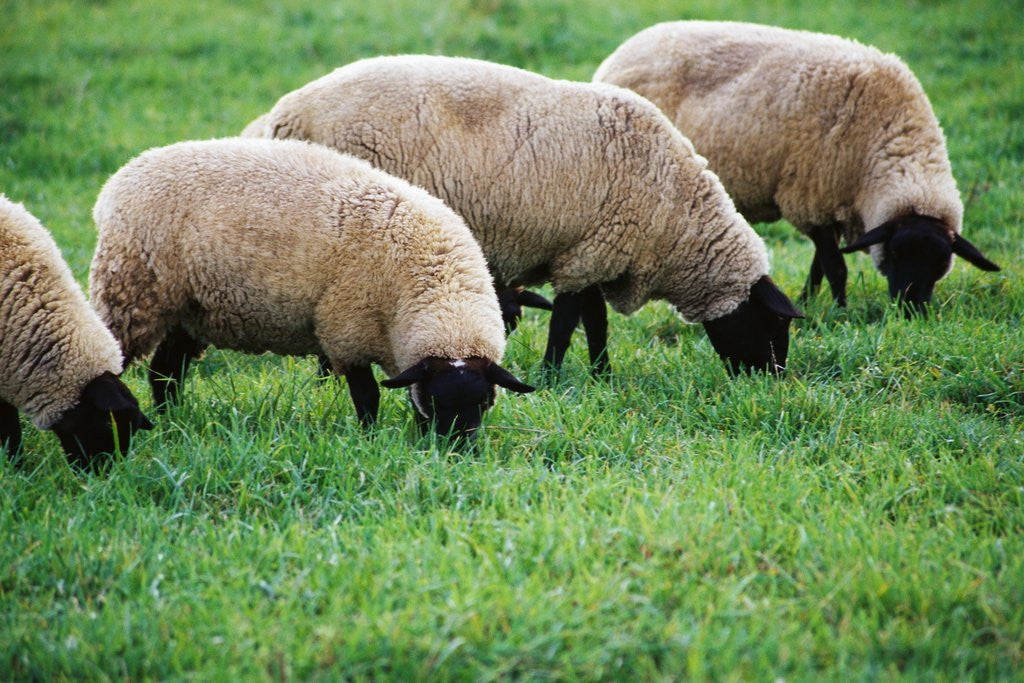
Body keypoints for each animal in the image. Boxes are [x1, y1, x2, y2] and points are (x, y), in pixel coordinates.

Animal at [88, 137, 534, 441]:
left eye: (484, 401)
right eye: (441, 402)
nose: (458, 450)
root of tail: (121, 178)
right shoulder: (347, 331)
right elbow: (368, 396)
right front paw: (369, 439)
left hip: (190, 309)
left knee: (165, 372)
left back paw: (174, 419)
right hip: (132, 290)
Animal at [257, 55, 804, 376]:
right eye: (775, 326)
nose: (771, 380)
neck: (676, 213)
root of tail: (283, 115)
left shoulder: (589, 250)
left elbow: (593, 321)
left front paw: (601, 374)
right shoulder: (590, 253)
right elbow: (568, 322)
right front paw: (554, 375)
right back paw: (328, 377)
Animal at [594, 21, 1000, 314]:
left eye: (942, 262)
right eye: (898, 254)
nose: (911, 311)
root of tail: (619, 54)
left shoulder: (831, 204)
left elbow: (820, 265)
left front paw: (808, 302)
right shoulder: (810, 197)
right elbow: (835, 266)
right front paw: (840, 310)